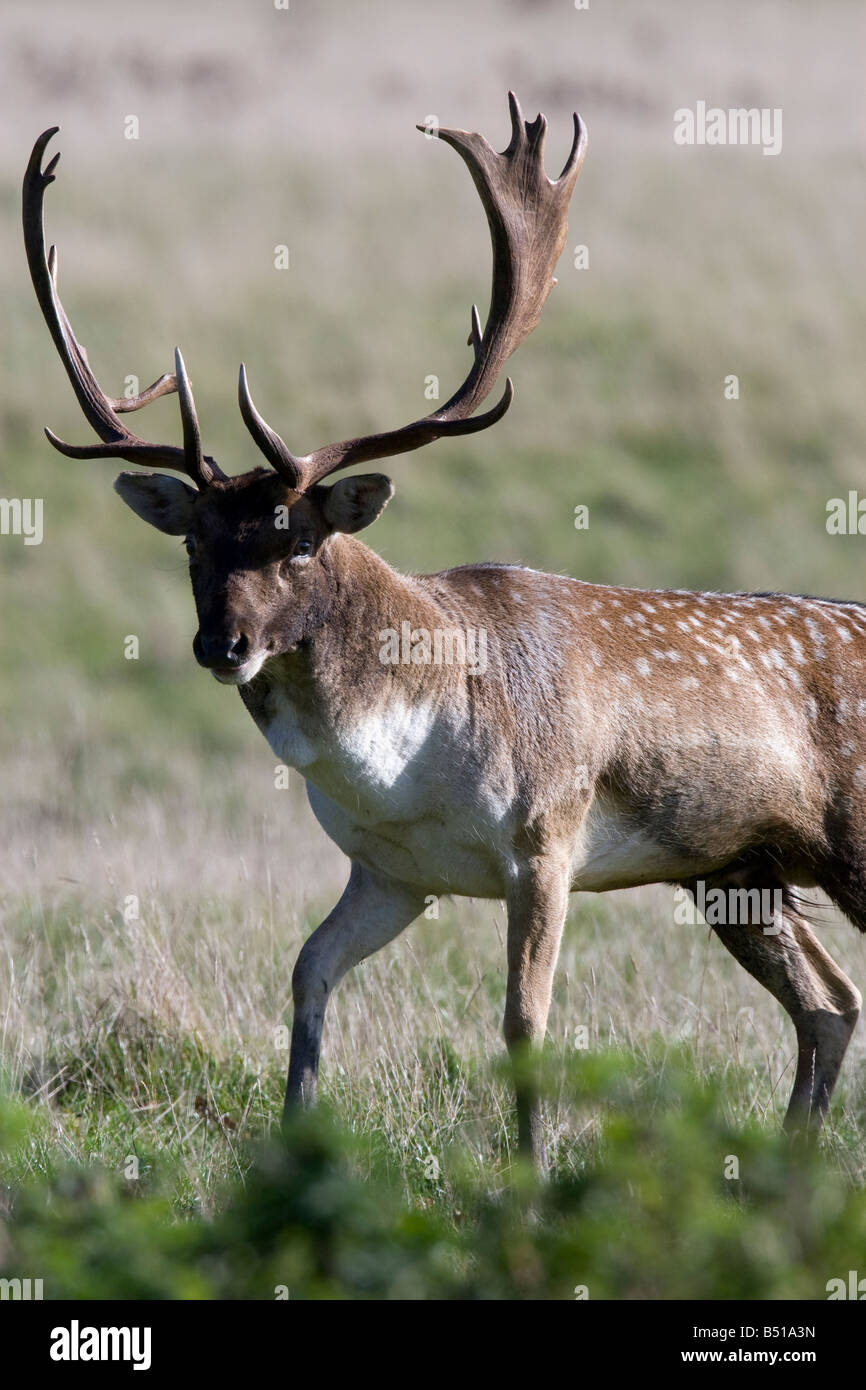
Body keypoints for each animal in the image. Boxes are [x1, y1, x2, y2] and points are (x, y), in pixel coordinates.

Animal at [25, 95, 861, 1173]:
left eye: (299, 539)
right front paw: (293, 1151)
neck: (407, 751)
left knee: (830, 998)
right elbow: (307, 973)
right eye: (194, 543)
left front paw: (529, 1171)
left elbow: (523, 1022)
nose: (222, 647)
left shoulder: (545, 838)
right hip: (737, 869)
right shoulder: (389, 871)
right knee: (829, 1003)